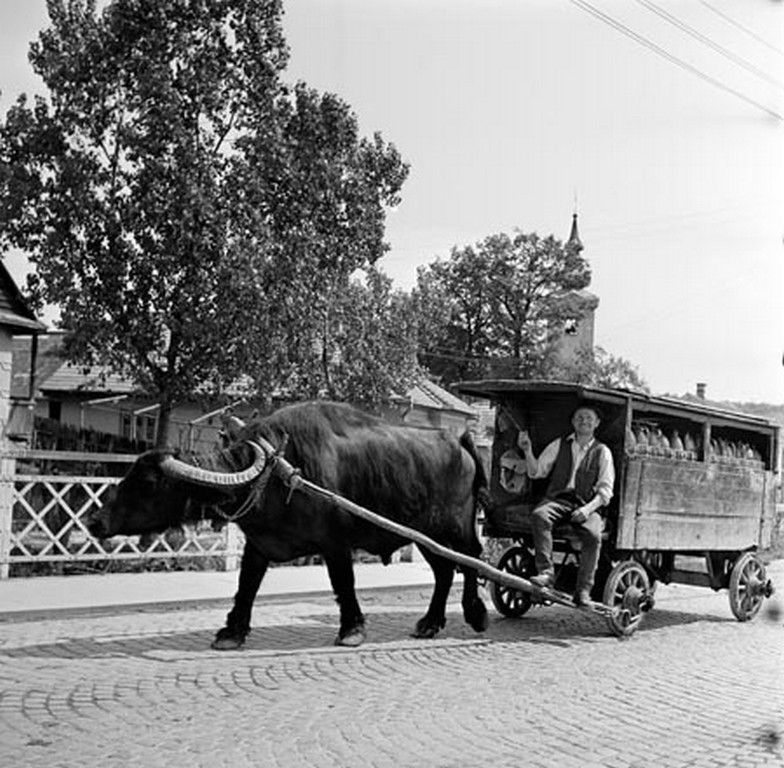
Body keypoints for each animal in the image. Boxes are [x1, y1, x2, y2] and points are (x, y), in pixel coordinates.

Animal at [89, 402, 486, 648]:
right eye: (130, 473)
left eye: (147, 483)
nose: (95, 520)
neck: (276, 472)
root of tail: (457, 439)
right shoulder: (259, 545)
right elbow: (246, 586)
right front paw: (231, 631)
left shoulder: (335, 544)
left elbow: (343, 584)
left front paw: (352, 629)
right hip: (427, 536)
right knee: (444, 572)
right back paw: (430, 623)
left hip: (454, 528)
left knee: (471, 561)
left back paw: (475, 613)